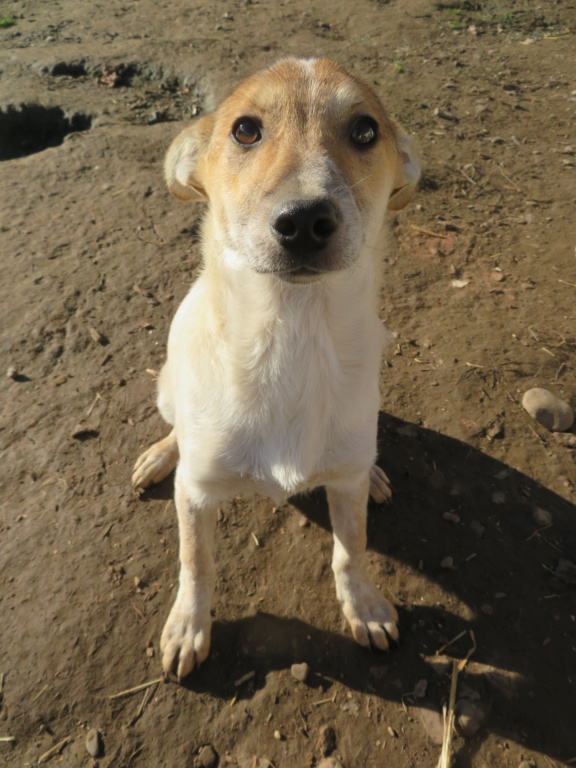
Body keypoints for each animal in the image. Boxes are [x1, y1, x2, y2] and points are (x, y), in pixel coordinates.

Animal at [133, 61, 420, 684]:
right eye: (245, 129)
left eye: (365, 130)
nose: (306, 220)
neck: (294, 340)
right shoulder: (196, 495)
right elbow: (196, 562)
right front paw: (188, 626)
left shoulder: (344, 488)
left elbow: (351, 548)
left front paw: (364, 606)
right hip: (167, 384)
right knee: (174, 427)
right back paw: (160, 455)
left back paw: (376, 475)